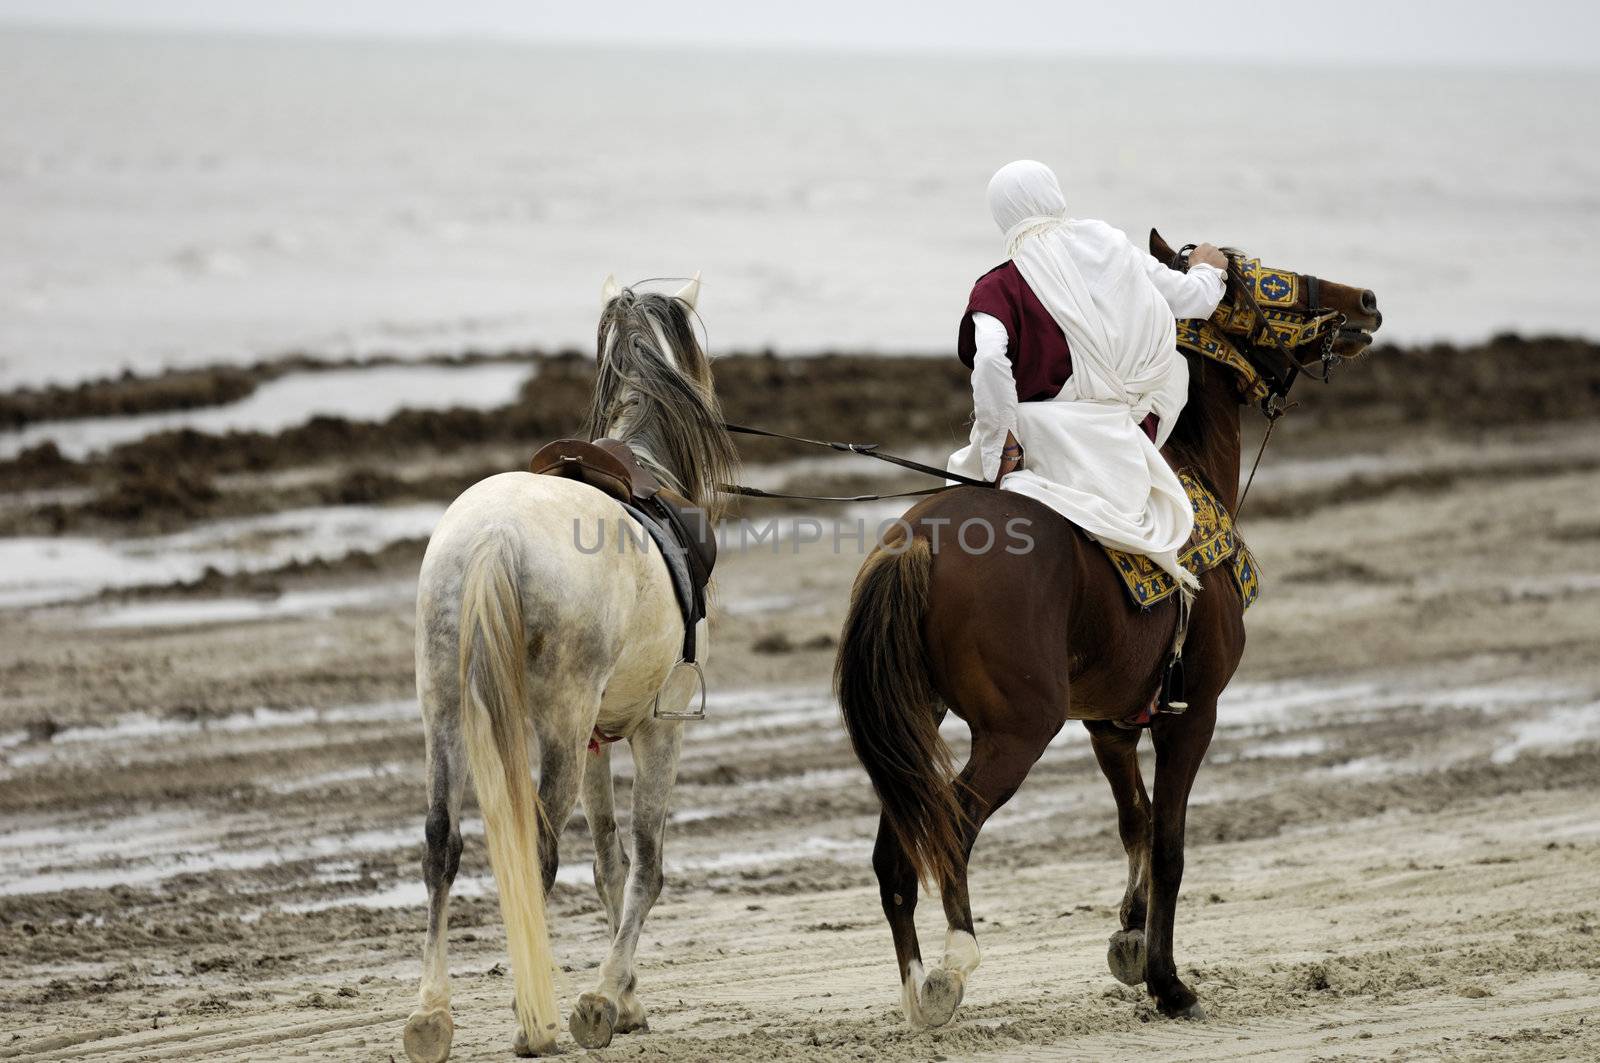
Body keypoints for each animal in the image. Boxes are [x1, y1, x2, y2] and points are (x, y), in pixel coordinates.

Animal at [406, 278, 742, 1056]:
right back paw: (538, 1019)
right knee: (538, 850)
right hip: (558, 722)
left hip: (445, 710)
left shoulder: (597, 736)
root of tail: (495, 536)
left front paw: (626, 999)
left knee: (442, 842)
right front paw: (603, 996)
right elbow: (646, 863)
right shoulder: (657, 728)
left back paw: (432, 1014)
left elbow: (609, 861)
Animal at [838, 230, 1388, 1024]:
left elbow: (1135, 820)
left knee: (898, 850)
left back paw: (920, 987)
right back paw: (955, 961)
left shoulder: (1110, 722)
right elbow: (1170, 841)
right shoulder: (1193, 713)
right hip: (1017, 731)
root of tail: (919, 540)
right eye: (1258, 274)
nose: (1365, 301)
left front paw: (1129, 935)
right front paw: (1168, 980)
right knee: (952, 827)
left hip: (915, 721)